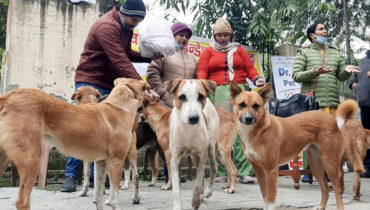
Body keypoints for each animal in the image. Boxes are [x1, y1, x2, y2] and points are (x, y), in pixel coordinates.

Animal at [0, 78, 149, 210]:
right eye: (147, 89)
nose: (152, 99)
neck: (120, 107)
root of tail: (8, 97)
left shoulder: (100, 162)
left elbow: (98, 197)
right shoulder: (115, 162)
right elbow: (114, 200)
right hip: (31, 161)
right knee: (22, 202)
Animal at [165, 79, 220, 210]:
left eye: (200, 96)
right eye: (182, 97)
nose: (194, 118)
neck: (188, 130)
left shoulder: (202, 154)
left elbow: (198, 179)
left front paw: (195, 201)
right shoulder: (174, 158)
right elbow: (176, 187)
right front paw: (177, 206)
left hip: (210, 145)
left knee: (213, 166)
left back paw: (208, 192)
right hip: (194, 157)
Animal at [228, 81, 352, 210]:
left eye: (256, 105)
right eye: (242, 104)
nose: (248, 118)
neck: (259, 130)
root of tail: (333, 120)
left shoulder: (271, 170)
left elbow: (270, 200)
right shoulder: (259, 170)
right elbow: (265, 196)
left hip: (329, 164)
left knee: (337, 191)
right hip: (316, 165)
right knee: (325, 188)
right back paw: (321, 206)